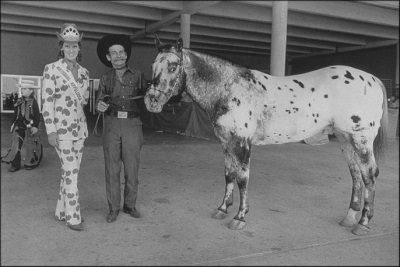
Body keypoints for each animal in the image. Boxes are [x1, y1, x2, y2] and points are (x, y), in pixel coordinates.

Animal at [144, 37, 388, 237]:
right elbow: (229, 175)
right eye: (153, 65)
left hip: (361, 139)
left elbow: (242, 179)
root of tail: (373, 79)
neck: (230, 89)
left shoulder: (242, 143)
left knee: (369, 175)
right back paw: (349, 218)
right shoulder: (226, 143)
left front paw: (239, 217)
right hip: (345, 139)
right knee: (356, 174)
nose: (151, 101)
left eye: (173, 67)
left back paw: (363, 223)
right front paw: (222, 209)